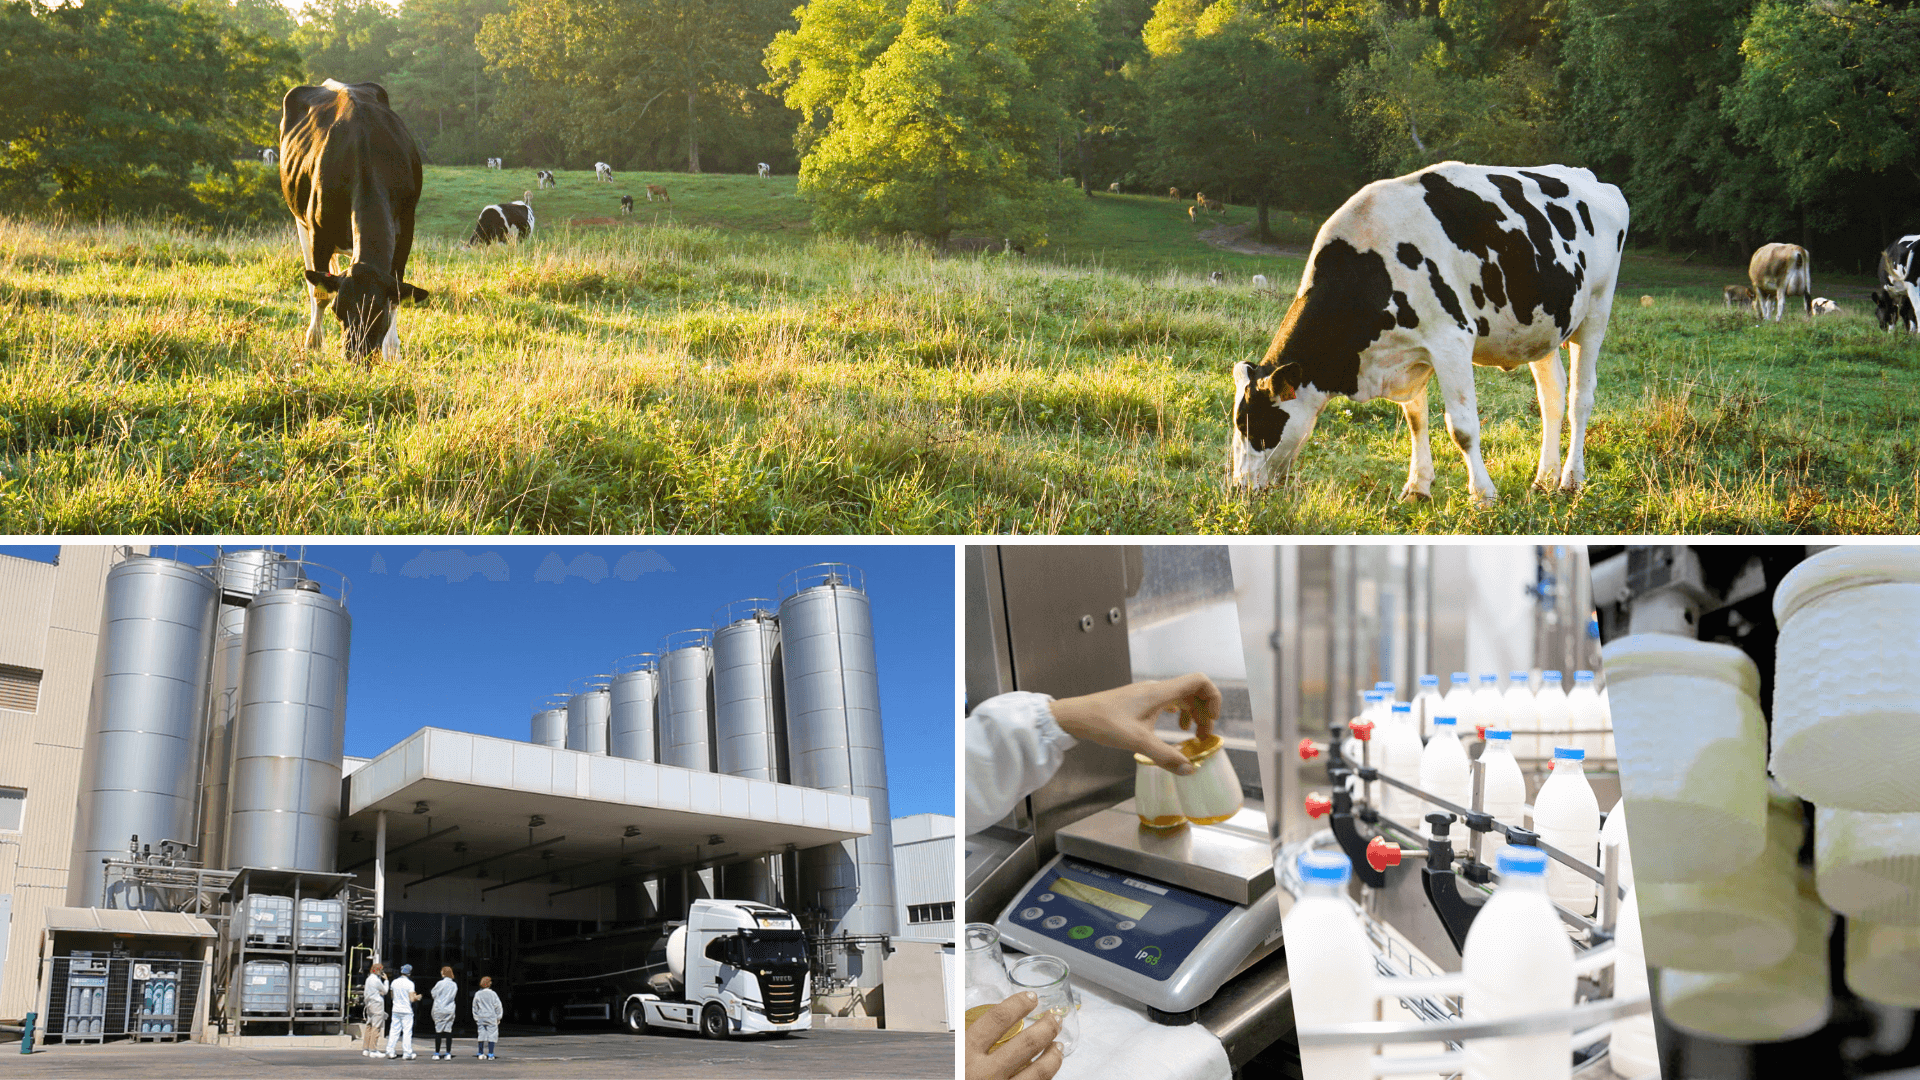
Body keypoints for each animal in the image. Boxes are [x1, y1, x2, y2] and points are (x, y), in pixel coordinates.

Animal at [278, 77, 428, 361]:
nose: (357, 355)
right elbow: (320, 293)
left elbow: (398, 291)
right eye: (339, 311)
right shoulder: (319, 234)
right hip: (300, 222)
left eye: (379, 313)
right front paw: (314, 343)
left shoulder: (407, 230)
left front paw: (392, 351)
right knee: (313, 282)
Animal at [1236, 161, 1628, 507]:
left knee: (1580, 398)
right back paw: (1544, 479)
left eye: (1251, 427)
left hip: (1596, 309)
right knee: (1552, 396)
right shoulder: (1409, 353)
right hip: (1540, 326)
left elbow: (1463, 428)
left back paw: (1570, 480)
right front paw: (1417, 487)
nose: (1239, 488)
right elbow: (1415, 420)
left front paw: (1483, 495)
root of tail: (1590, 177)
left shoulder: (1450, 341)